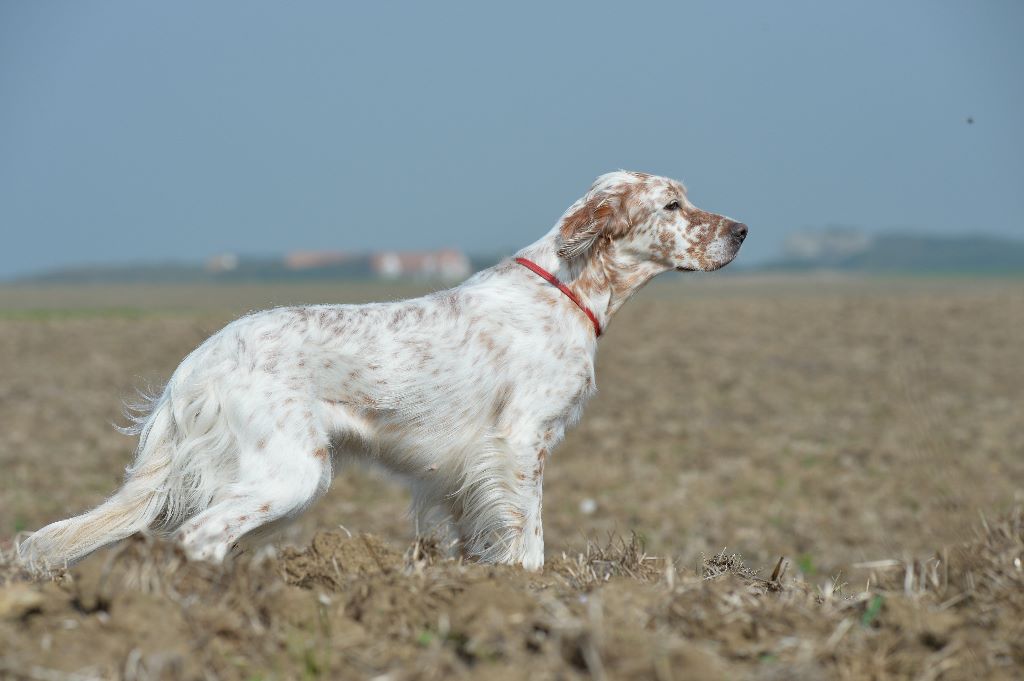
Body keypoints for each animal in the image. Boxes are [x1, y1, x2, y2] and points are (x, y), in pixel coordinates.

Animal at [19, 169, 749, 569]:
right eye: (672, 205)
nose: (741, 230)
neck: (566, 289)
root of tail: (193, 366)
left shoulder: (465, 472)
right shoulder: (519, 444)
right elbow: (530, 540)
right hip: (290, 473)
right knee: (198, 536)